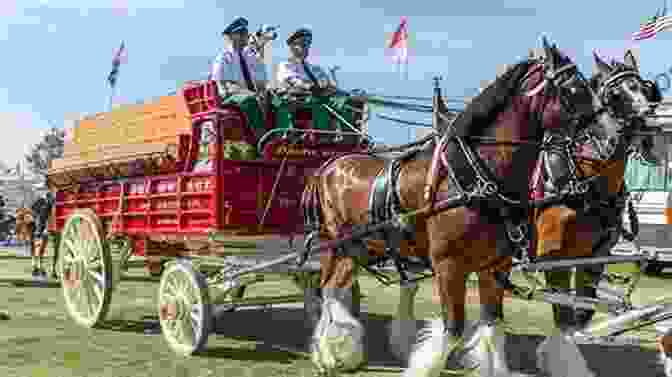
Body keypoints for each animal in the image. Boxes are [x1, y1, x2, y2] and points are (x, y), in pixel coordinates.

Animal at [302, 36, 608, 376]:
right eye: (575, 88)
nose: (608, 135)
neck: (476, 176)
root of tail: (328, 166)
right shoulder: (449, 266)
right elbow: (453, 328)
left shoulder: (494, 266)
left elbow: (492, 325)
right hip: (342, 245)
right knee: (331, 290)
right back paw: (329, 354)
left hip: (361, 247)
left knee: (333, 290)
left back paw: (334, 354)